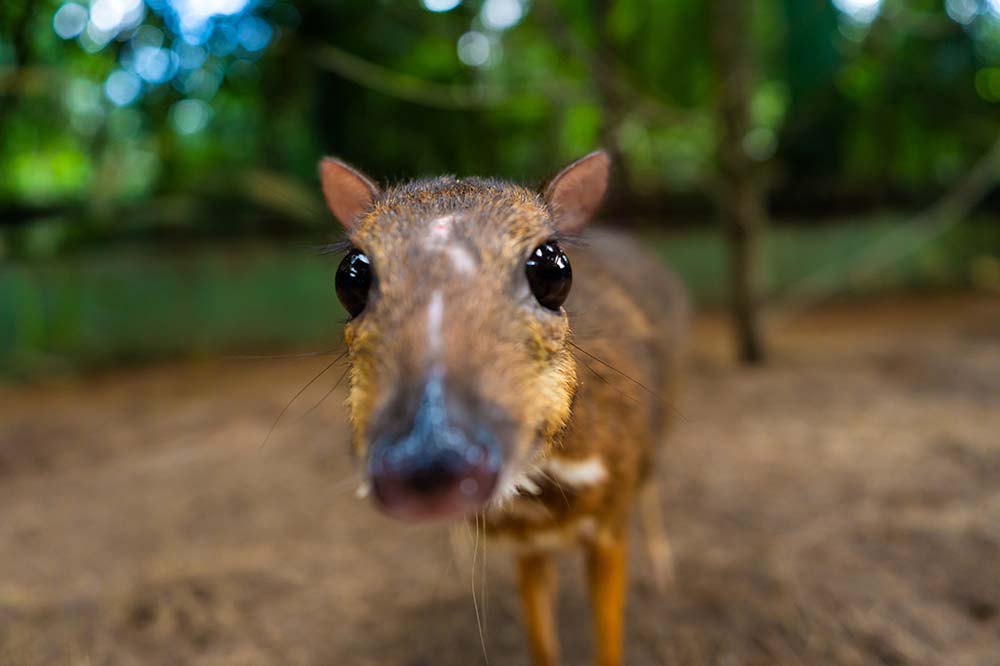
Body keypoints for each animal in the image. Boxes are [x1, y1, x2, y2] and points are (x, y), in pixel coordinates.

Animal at [320, 150, 688, 664]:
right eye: (350, 275)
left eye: (553, 268)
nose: (429, 463)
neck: (548, 503)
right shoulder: (527, 545)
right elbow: (542, 643)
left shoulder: (612, 520)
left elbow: (609, 644)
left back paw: (662, 571)